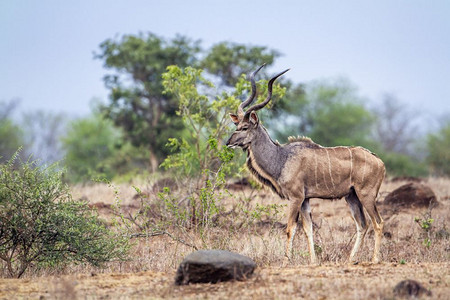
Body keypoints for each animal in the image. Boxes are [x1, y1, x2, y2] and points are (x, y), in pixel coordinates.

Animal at [227, 65, 384, 262]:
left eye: (245, 127)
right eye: (236, 125)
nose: (229, 142)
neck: (282, 158)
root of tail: (379, 161)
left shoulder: (296, 198)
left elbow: (290, 229)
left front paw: (286, 261)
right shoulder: (305, 200)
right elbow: (308, 229)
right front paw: (313, 261)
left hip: (366, 195)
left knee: (378, 223)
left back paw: (374, 259)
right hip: (352, 196)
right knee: (362, 225)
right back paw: (350, 260)